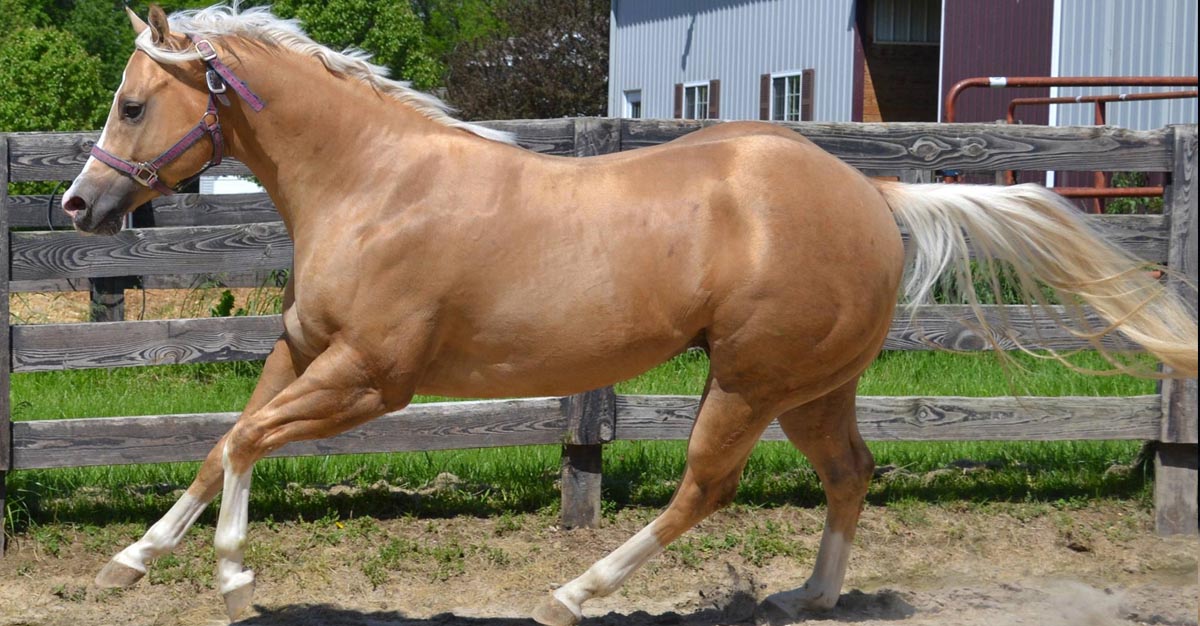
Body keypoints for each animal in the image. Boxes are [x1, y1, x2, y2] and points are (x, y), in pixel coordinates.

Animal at [60, 6, 1195, 623]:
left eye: (131, 103)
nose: (78, 204)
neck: (376, 185)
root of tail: (874, 196)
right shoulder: (304, 348)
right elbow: (223, 441)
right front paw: (129, 561)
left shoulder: (375, 378)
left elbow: (251, 440)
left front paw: (233, 573)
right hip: (812, 386)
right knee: (851, 473)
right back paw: (808, 595)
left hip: (748, 380)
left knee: (705, 489)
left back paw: (574, 591)